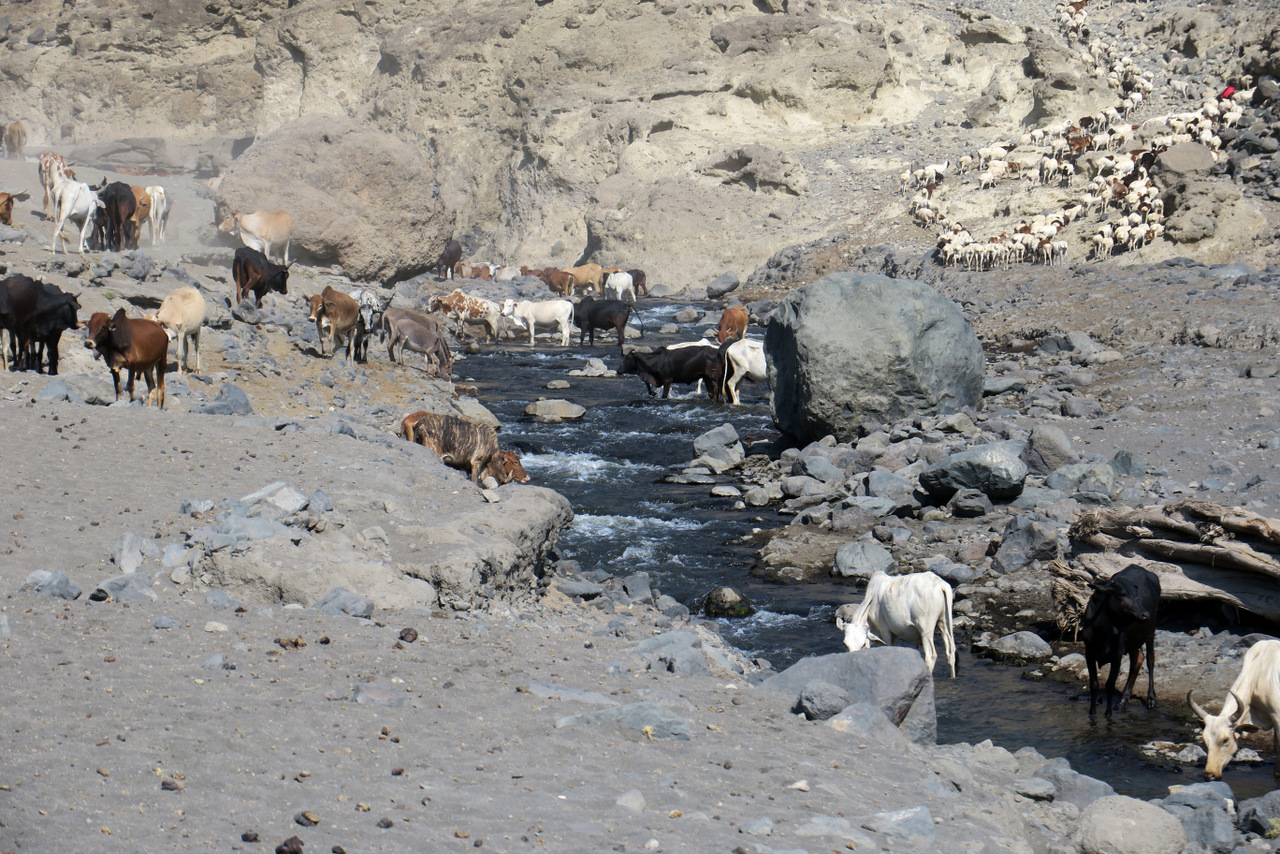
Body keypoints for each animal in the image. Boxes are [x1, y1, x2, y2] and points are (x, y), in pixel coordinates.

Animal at [1080, 563, 1162, 717]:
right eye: (1122, 595)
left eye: (1136, 595)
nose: (1145, 614)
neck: (1102, 631)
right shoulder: (1089, 652)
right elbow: (1094, 684)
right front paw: (1092, 713)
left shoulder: (1117, 654)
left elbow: (1110, 685)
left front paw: (1108, 714)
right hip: (1134, 640)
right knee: (1137, 660)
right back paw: (1123, 700)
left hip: (1150, 631)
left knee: (1150, 660)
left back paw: (1151, 698)